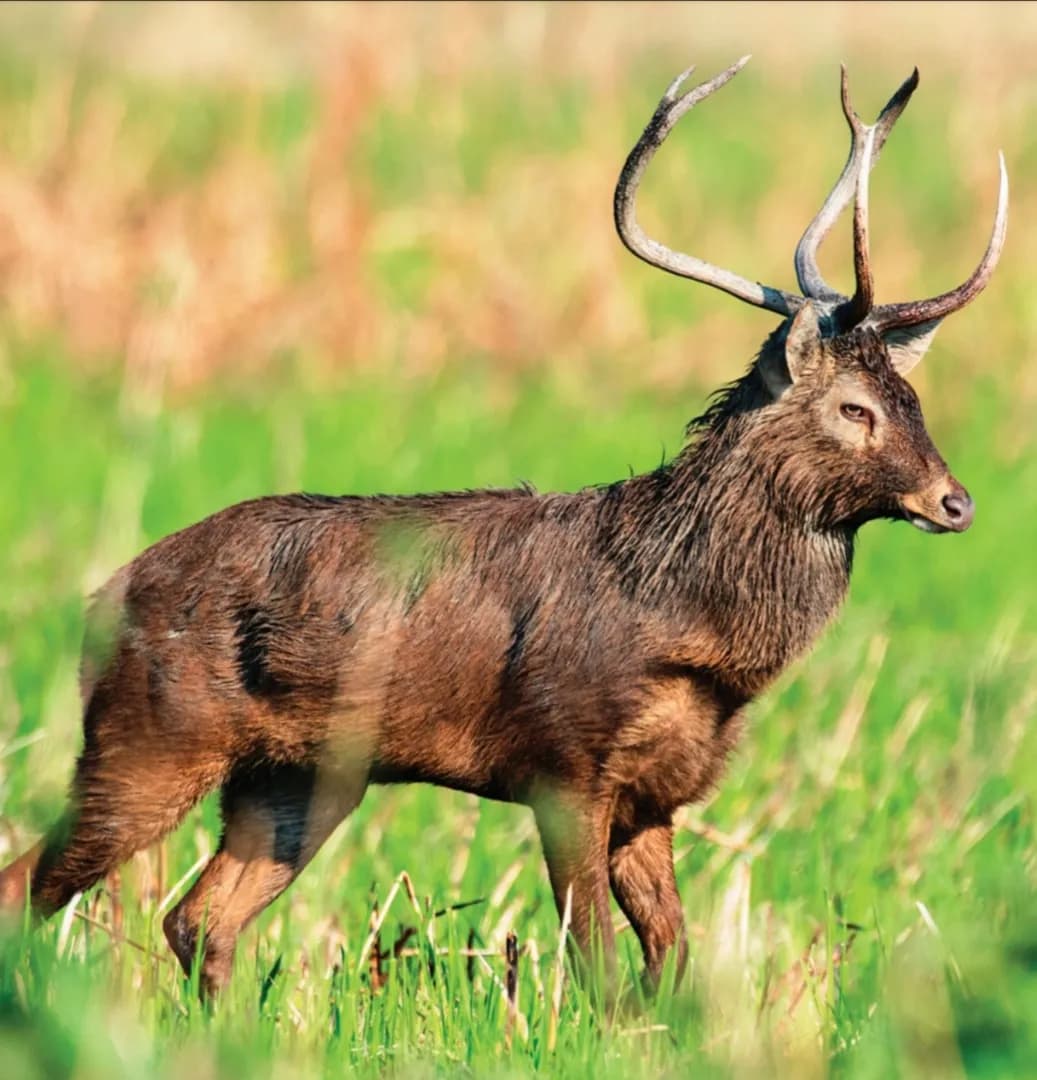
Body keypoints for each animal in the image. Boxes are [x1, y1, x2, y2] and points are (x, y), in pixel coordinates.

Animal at [0, 57, 1007, 1000]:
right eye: (852, 408)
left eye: (910, 398)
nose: (954, 502)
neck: (689, 620)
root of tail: (103, 597)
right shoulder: (562, 762)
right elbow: (597, 962)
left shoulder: (658, 792)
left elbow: (670, 962)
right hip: (149, 735)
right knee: (33, 885)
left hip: (294, 774)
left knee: (198, 918)